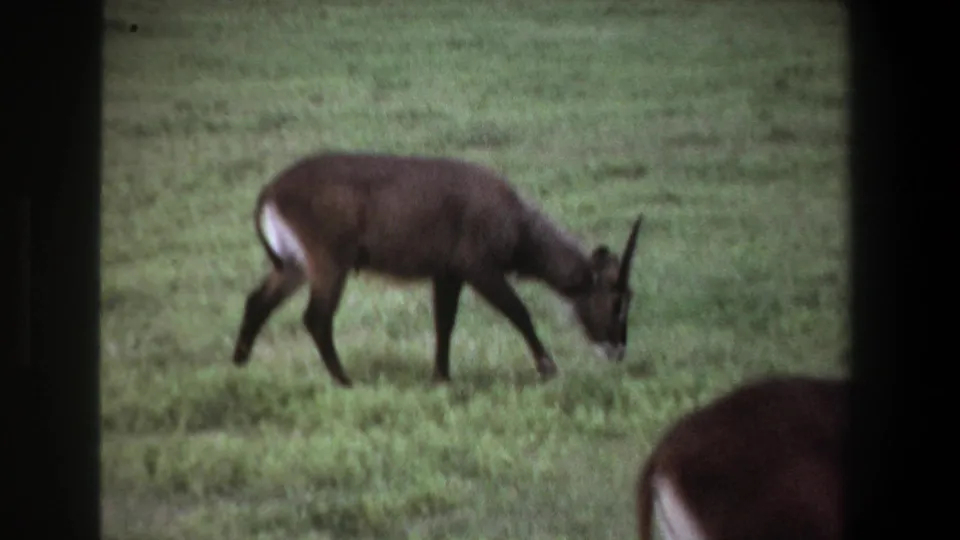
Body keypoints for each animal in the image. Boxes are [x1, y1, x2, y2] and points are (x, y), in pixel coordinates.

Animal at [231, 152, 644, 387]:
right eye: (618, 299)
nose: (619, 349)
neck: (517, 223)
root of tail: (271, 190)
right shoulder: (480, 270)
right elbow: (519, 313)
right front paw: (548, 368)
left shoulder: (447, 275)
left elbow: (444, 323)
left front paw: (442, 377)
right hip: (329, 264)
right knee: (316, 317)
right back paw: (344, 381)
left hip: (294, 267)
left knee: (257, 301)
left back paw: (238, 366)